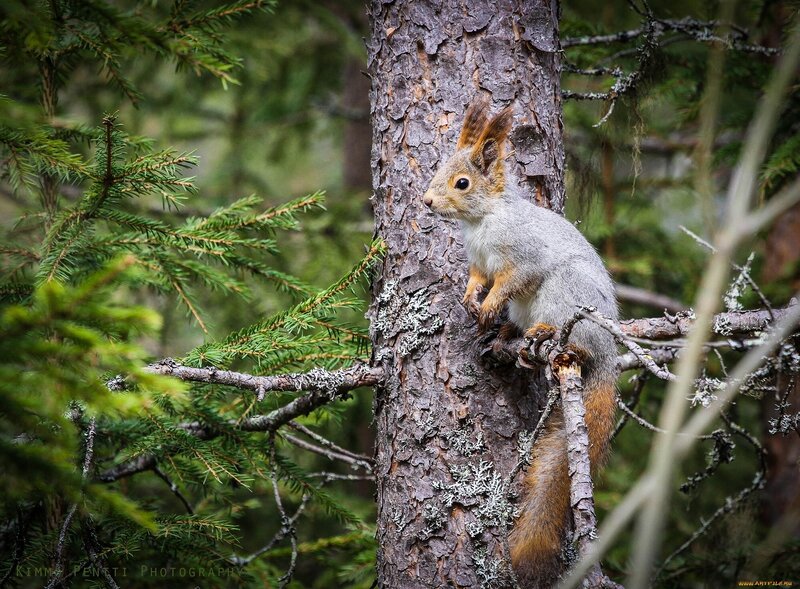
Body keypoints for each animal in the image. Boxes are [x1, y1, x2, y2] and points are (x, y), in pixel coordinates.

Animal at [422, 97, 619, 586]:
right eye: (439, 169)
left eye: (462, 182)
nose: (427, 201)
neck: (483, 221)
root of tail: (610, 356)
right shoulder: (478, 262)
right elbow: (478, 280)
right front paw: (471, 300)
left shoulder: (523, 259)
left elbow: (509, 282)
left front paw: (489, 304)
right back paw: (509, 339)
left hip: (565, 297)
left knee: (574, 340)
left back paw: (547, 337)